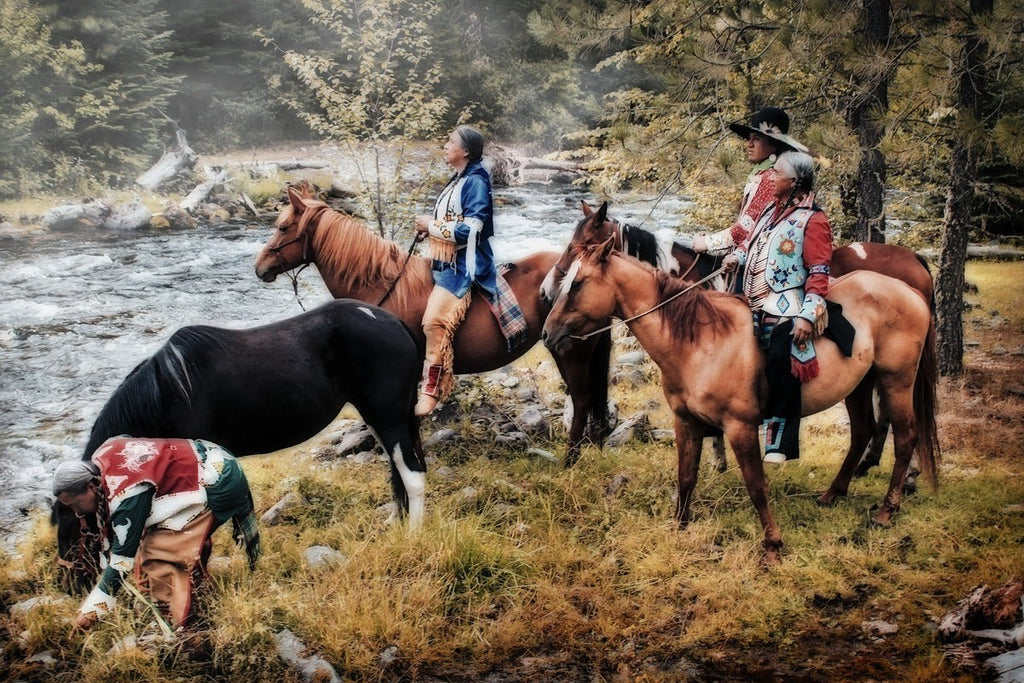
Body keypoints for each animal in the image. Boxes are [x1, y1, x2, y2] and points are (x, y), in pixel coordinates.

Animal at [58, 301, 425, 589]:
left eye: (73, 523)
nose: (70, 583)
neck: (168, 394)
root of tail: (394, 323)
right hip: (382, 418)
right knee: (398, 471)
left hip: (388, 417)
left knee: (413, 475)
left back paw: (413, 533)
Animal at [252, 187, 610, 464]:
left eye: (283, 227)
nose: (259, 268)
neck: (383, 287)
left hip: (572, 353)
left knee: (581, 401)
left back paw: (570, 460)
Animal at [544, 200, 937, 483]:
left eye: (581, 246)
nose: (547, 291)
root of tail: (915, 262)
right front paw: (718, 459)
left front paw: (717, 460)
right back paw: (867, 466)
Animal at [544, 240, 937, 565]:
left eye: (577, 284)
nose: (548, 333)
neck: (700, 342)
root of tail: (910, 290)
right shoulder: (685, 421)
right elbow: (686, 476)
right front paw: (679, 526)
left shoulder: (740, 426)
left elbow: (756, 485)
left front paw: (773, 545)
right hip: (859, 384)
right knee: (862, 432)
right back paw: (832, 494)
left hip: (897, 380)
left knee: (906, 438)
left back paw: (886, 512)